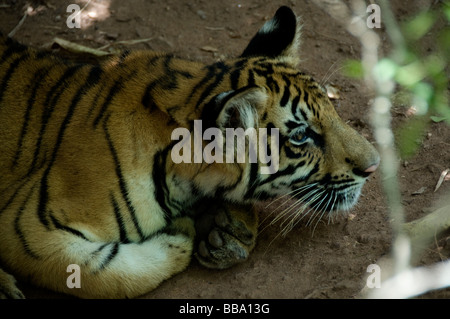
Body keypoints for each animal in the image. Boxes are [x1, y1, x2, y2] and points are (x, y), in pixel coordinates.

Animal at [0, 5, 380, 300]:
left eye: (332, 109)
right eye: (302, 136)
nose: (374, 167)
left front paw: (228, 230)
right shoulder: (28, 229)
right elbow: (111, 276)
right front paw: (182, 233)